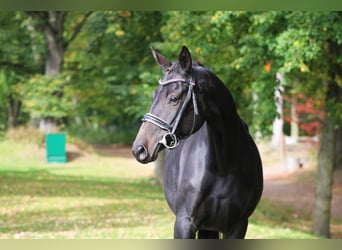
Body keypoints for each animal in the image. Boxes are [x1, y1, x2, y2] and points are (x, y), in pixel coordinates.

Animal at [132, 45, 264, 238]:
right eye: (154, 95)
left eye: (173, 98)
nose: (139, 149)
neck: (223, 165)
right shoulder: (184, 223)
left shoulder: (238, 226)